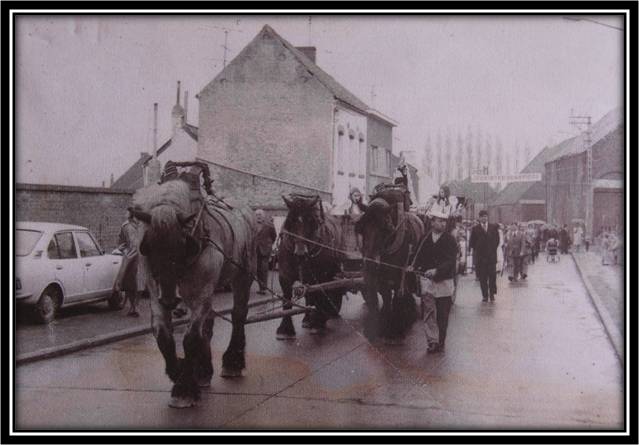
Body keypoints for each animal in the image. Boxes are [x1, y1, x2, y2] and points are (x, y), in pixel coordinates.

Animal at [130, 179, 258, 408]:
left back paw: (233, 361)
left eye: (181, 245)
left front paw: (183, 390)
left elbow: (190, 338)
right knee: (209, 323)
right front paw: (179, 371)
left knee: (238, 315)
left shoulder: (200, 294)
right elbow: (163, 336)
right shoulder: (156, 294)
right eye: (148, 246)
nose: (170, 300)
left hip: (244, 275)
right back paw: (204, 371)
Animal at [276, 193, 344, 336]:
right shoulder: (284, 276)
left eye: (311, 221)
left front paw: (318, 322)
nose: (301, 253)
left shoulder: (320, 276)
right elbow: (287, 300)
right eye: (290, 220)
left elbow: (318, 295)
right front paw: (285, 329)